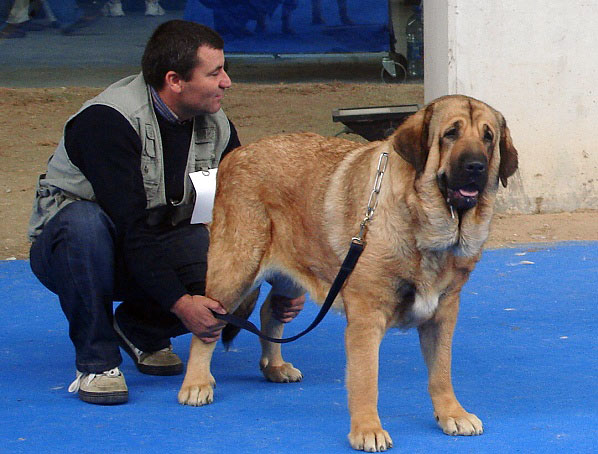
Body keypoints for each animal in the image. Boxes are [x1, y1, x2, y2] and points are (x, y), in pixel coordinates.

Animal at [178, 95, 520, 450]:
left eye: (488, 137)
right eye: (451, 133)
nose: (476, 166)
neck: (422, 224)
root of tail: (235, 154)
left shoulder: (442, 314)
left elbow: (441, 372)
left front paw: (451, 413)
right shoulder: (367, 319)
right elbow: (366, 379)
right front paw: (368, 429)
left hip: (295, 271)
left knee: (269, 311)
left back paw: (275, 367)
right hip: (236, 269)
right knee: (207, 323)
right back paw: (196, 383)